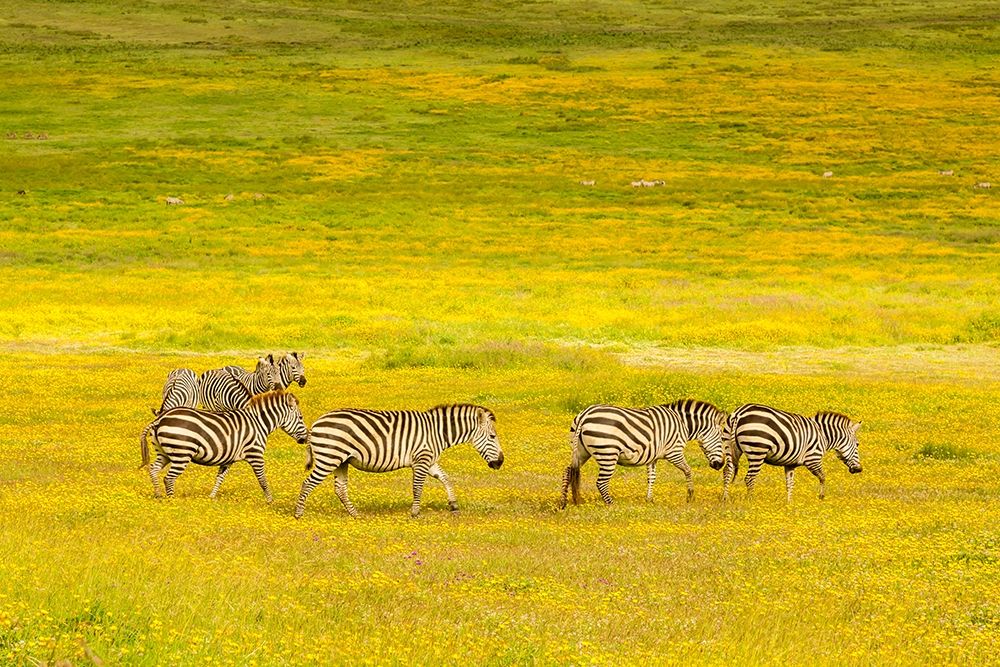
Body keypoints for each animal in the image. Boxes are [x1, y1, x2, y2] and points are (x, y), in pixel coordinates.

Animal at [139, 390, 308, 501]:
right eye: (300, 417)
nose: (306, 438)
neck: (259, 423)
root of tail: (161, 418)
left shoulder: (228, 459)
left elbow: (220, 478)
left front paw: (211, 498)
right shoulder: (256, 455)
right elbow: (262, 479)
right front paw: (270, 501)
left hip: (164, 453)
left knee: (153, 469)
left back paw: (158, 496)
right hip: (182, 453)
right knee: (169, 478)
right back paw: (171, 501)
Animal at [294, 404, 503, 519]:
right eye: (492, 436)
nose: (500, 462)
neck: (437, 432)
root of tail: (316, 423)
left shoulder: (429, 460)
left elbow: (446, 478)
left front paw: (453, 504)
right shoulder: (421, 459)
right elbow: (417, 487)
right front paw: (415, 513)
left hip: (341, 461)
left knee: (340, 489)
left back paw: (355, 515)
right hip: (328, 458)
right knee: (307, 483)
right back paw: (298, 514)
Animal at [560, 399, 726, 508]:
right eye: (720, 439)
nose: (720, 465)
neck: (683, 424)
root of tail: (585, 415)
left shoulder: (652, 457)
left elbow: (651, 478)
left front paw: (649, 499)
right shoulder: (674, 452)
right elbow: (688, 470)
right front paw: (690, 496)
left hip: (581, 451)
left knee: (568, 471)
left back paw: (563, 502)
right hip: (608, 453)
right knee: (601, 482)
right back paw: (612, 505)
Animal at [722, 404, 862, 502]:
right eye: (857, 445)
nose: (859, 469)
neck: (823, 435)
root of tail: (739, 414)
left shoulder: (790, 464)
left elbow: (790, 484)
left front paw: (789, 503)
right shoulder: (813, 459)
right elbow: (823, 477)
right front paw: (821, 496)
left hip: (729, 447)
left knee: (727, 471)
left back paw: (725, 499)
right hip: (757, 451)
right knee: (750, 478)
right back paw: (752, 501)